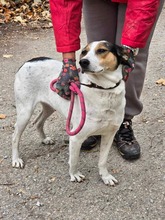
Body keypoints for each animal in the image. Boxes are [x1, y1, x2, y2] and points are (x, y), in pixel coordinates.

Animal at [11, 40, 126, 185]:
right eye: (84, 51)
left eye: (102, 50)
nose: (83, 62)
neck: (104, 90)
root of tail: (29, 61)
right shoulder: (76, 137)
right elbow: (74, 160)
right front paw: (74, 175)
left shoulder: (109, 135)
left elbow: (103, 161)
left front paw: (105, 176)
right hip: (25, 112)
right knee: (15, 136)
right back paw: (16, 159)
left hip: (50, 106)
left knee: (38, 122)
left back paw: (45, 139)